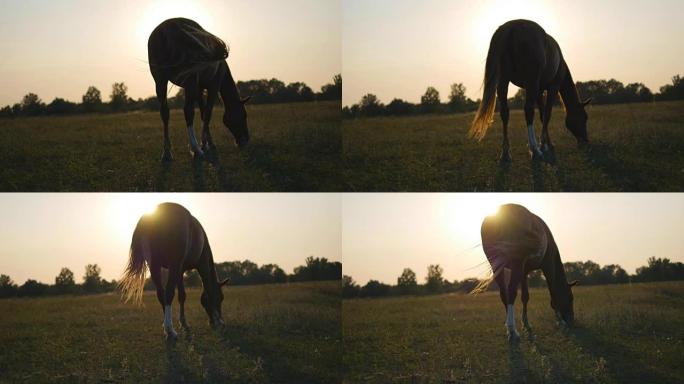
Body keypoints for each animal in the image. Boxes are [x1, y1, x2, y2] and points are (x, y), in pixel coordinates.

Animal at [120, 201, 230, 340]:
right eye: (221, 297)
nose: (218, 320)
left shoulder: (180, 271)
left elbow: (182, 295)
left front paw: (183, 322)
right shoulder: (202, 265)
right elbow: (208, 289)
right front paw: (217, 321)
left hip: (155, 265)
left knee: (161, 294)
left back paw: (166, 326)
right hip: (173, 264)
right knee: (168, 293)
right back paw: (170, 330)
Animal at [147, 17, 251, 162]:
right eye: (244, 114)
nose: (245, 140)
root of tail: (167, 29)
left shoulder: (199, 89)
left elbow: (202, 113)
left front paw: (207, 142)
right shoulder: (212, 87)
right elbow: (207, 114)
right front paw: (205, 144)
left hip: (160, 81)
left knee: (165, 113)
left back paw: (167, 152)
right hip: (188, 81)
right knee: (188, 111)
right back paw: (196, 149)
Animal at [468, 19, 592, 162]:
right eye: (584, 117)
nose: (585, 141)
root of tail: (511, 28)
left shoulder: (539, 91)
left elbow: (542, 115)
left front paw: (547, 143)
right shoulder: (552, 88)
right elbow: (547, 114)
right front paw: (543, 144)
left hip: (503, 81)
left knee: (505, 112)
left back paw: (505, 153)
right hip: (530, 82)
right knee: (528, 110)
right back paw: (534, 150)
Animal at [476, 204, 576, 342]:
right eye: (570, 297)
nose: (572, 321)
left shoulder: (524, 272)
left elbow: (525, 297)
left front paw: (526, 323)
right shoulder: (548, 266)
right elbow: (553, 291)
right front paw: (560, 321)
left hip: (497, 264)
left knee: (504, 293)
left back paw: (509, 328)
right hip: (516, 263)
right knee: (511, 291)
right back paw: (512, 331)